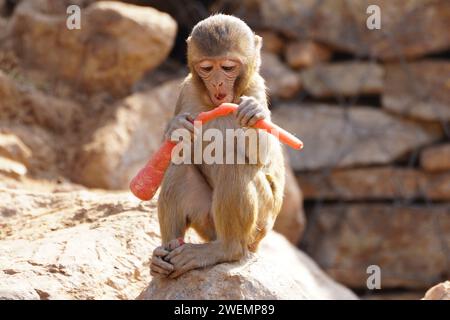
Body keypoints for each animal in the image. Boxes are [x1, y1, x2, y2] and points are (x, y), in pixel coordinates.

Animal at [151, 13, 284, 278]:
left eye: (228, 67)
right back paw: (165, 253)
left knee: (233, 163)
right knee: (180, 162)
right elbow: (172, 149)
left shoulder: (255, 87)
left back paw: (226, 249)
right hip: (207, 221)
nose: (218, 83)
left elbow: (262, 155)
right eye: (207, 68)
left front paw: (253, 114)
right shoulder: (186, 90)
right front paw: (175, 128)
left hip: (259, 225)